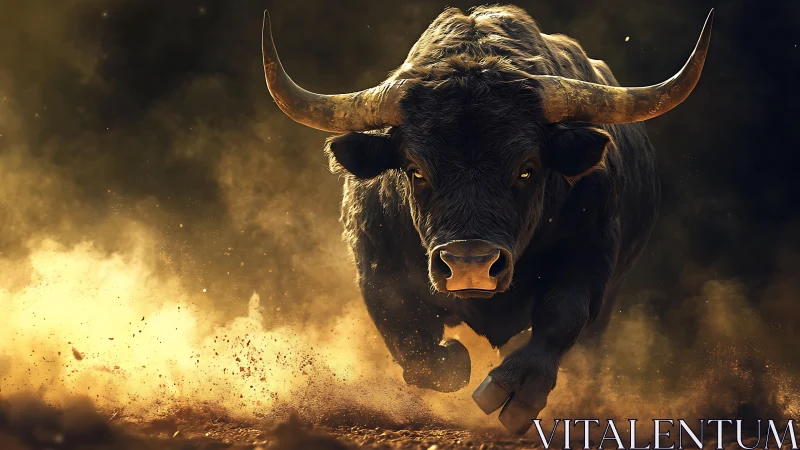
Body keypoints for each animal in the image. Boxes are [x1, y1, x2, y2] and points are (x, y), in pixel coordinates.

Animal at [261, 5, 713, 434]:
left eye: (526, 169)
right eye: (416, 170)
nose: (470, 264)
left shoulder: (592, 260)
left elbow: (562, 316)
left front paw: (516, 389)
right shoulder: (376, 269)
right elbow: (415, 346)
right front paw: (454, 360)